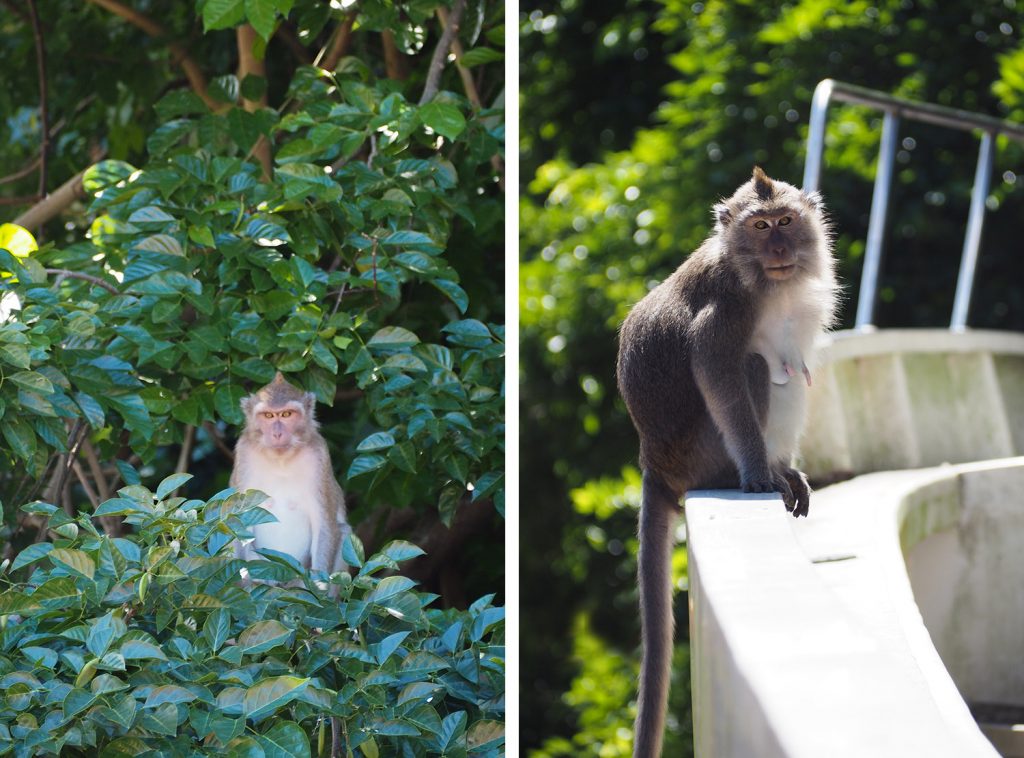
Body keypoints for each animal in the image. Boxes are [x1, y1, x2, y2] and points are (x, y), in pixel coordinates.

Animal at [230, 370, 350, 594]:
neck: (281, 459)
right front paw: (254, 580)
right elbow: (238, 523)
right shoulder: (244, 453)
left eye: (286, 414)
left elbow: (325, 524)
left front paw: (318, 587)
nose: (277, 433)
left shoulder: (319, 456)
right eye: (269, 415)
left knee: (345, 532)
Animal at [614, 169, 839, 753]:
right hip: (700, 449)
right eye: (759, 227)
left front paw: (784, 471)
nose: (779, 247)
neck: (763, 281)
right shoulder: (728, 306)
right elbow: (715, 368)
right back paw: (751, 473)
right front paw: (760, 477)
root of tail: (653, 463)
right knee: (756, 367)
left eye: (786, 220)